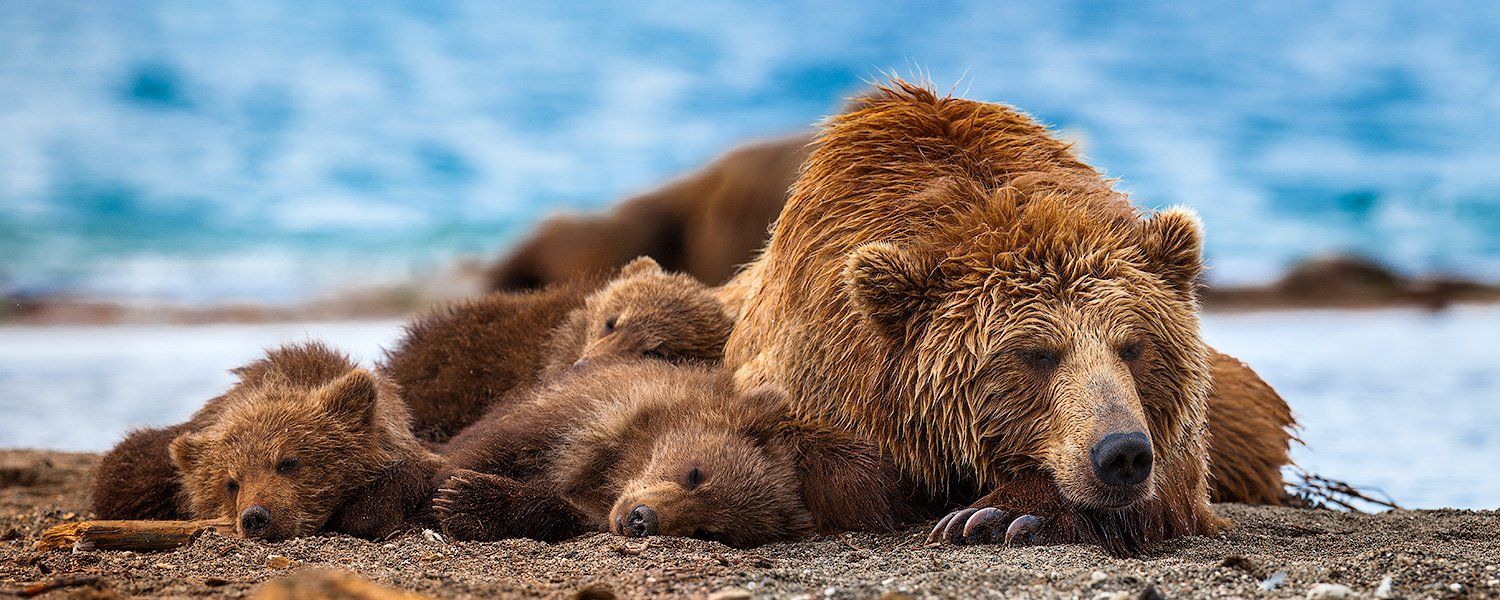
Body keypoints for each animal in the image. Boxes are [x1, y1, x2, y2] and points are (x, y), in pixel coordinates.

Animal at [726, 82, 1290, 555]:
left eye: (1134, 346)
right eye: (1035, 353)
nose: (1122, 454)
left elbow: (1177, 477)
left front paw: (1000, 514)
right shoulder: (815, 358)